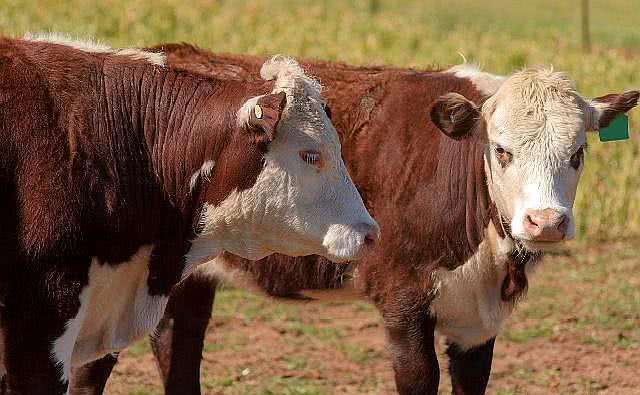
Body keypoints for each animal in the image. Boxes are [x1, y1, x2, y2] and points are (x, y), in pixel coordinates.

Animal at [71, 44, 640, 394]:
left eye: (578, 153)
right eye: (501, 151)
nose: (545, 222)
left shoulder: (477, 321)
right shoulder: (402, 296)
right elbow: (419, 378)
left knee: (176, 344)